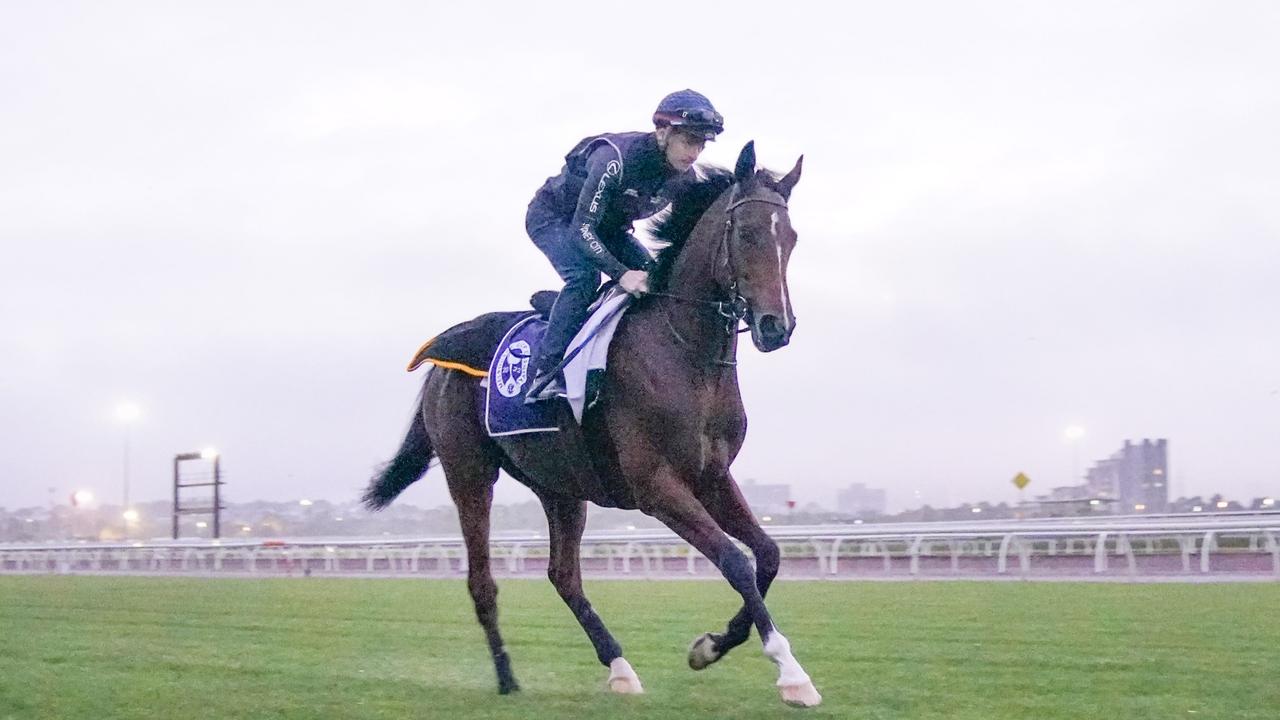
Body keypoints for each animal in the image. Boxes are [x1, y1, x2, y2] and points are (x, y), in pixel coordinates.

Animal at [363, 141, 819, 707]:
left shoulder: (711, 476)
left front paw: (711, 646)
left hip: (560, 484)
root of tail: (437, 361)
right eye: (748, 233)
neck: (682, 351)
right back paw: (507, 677)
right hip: (469, 473)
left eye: (791, 238)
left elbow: (769, 555)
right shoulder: (656, 486)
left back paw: (620, 667)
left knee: (563, 575)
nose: (777, 327)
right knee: (482, 581)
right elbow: (735, 562)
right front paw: (790, 673)